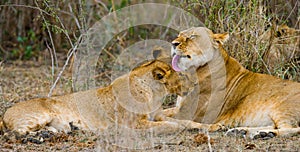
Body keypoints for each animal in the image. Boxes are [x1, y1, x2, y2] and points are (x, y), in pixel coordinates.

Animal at [168, 26, 298, 138]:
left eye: (193, 36)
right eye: (179, 35)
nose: (173, 44)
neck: (194, 71)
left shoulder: (188, 113)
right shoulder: (179, 108)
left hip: (282, 109)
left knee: (292, 128)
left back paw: (267, 134)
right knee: (272, 125)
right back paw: (243, 131)